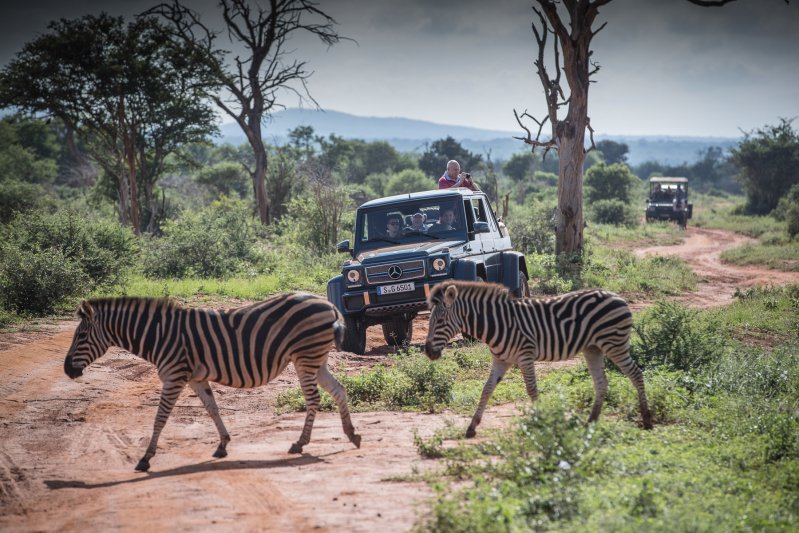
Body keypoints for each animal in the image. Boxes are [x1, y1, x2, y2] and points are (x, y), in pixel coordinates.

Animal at [63, 290, 362, 470]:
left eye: (81, 336)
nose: (67, 370)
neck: (158, 335)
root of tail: (329, 305)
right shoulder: (195, 378)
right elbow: (212, 408)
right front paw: (222, 445)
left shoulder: (174, 375)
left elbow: (160, 418)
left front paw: (145, 458)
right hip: (316, 359)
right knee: (338, 390)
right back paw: (352, 434)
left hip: (305, 356)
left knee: (313, 398)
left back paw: (300, 443)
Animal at [422, 280, 652, 434]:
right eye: (430, 320)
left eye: (440, 321)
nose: (428, 352)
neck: (497, 323)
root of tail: (617, 296)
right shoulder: (501, 360)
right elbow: (486, 390)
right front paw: (472, 427)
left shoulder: (525, 355)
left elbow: (531, 390)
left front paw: (542, 421)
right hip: (593, 348)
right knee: (602, 382)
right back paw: (590, 422)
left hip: (614, 344)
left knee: (636, 374)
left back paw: (647, 420)